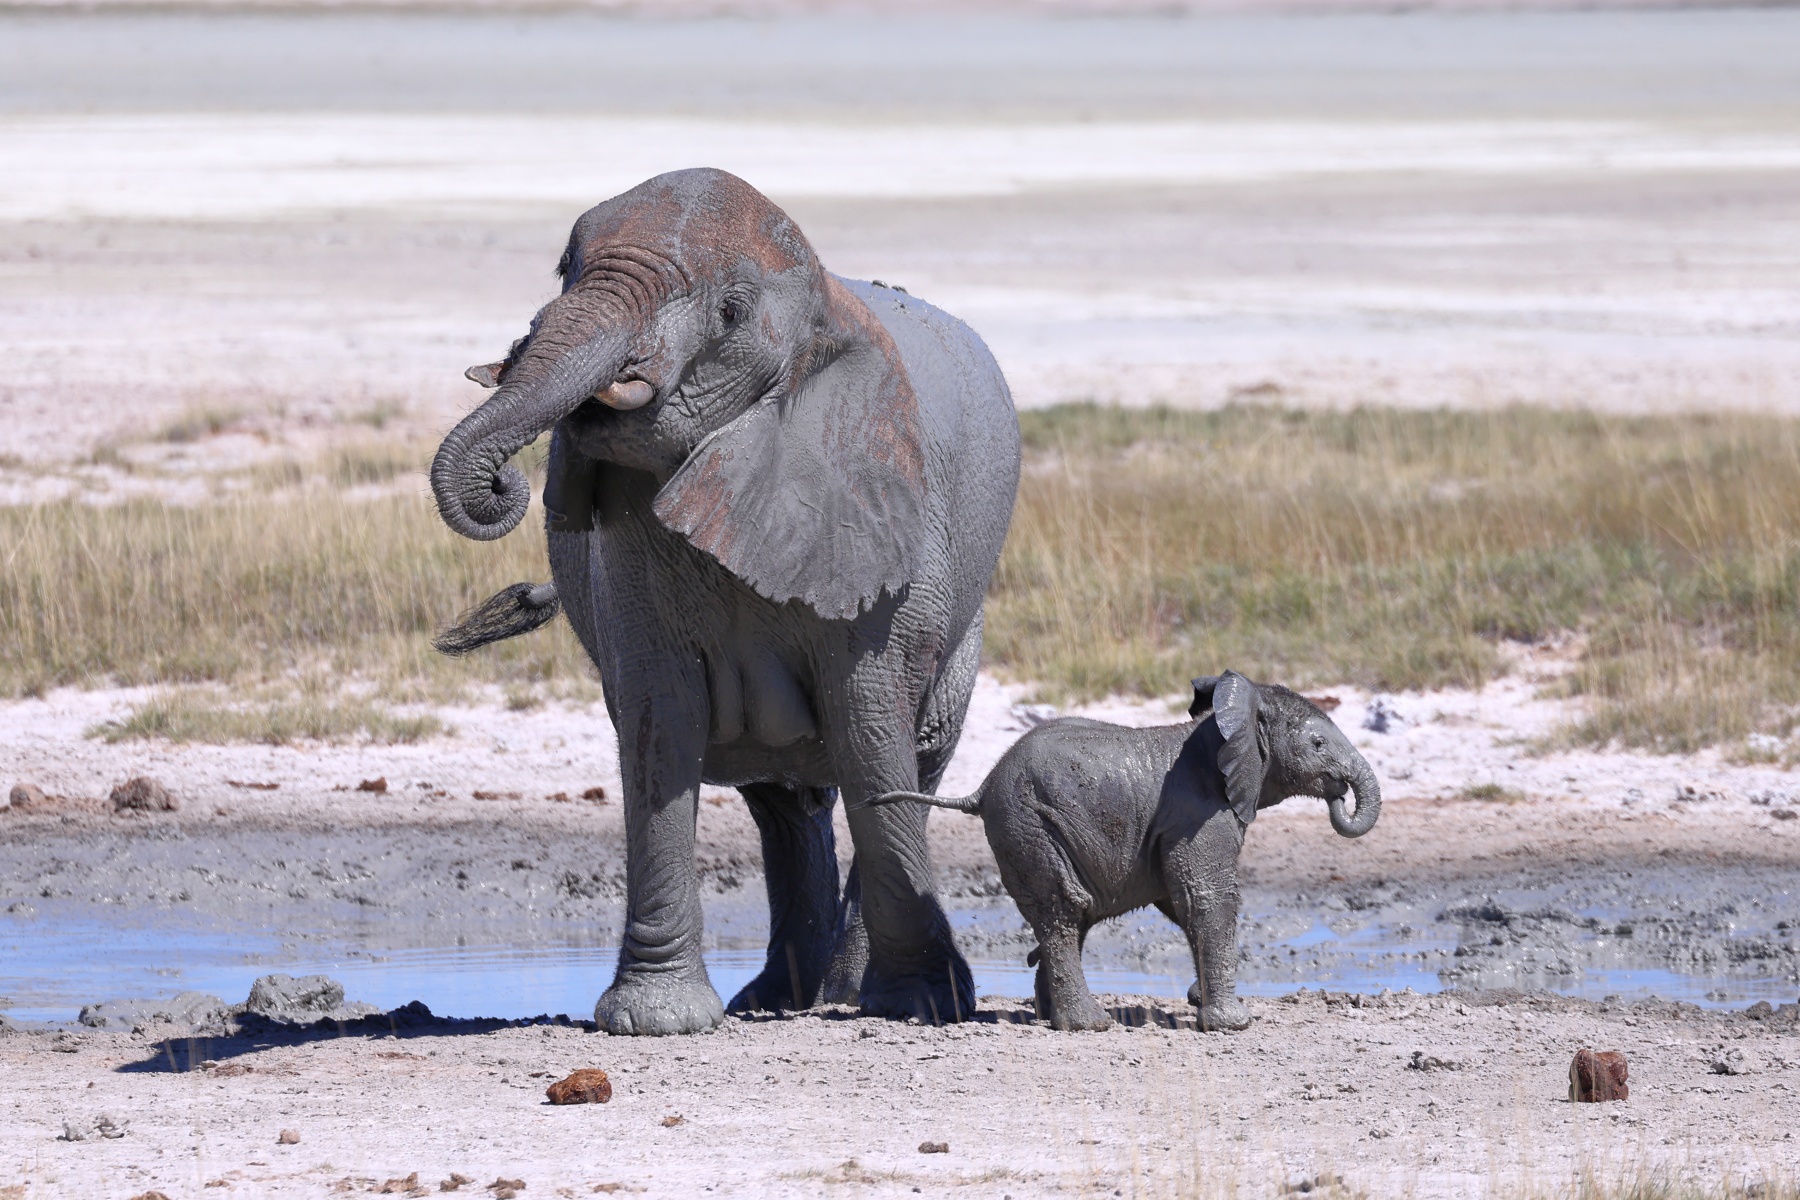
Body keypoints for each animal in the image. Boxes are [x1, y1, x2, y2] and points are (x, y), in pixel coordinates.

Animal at [429, 168, 1021, 1034]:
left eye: (731, 314)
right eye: (565, 269)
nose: (506, 480)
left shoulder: (877, 521)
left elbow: (871, 727)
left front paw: (923, 1006)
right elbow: (659, 719)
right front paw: (656, 1021)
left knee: (915, 756)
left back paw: (847, 997)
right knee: (784, 807)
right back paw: (778, 1000)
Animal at [868, 671, 1380, 1033]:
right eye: (1317, 744)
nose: (1339, 794)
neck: (1226, 723)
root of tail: (980, 788)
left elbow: (1181, 902)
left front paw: (1201, 1001)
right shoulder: (1200, 816)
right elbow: (1207, 898)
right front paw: (1233, 1024)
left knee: (1070, 916)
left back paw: (1052, 1016)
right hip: (1027, 822)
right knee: (1062, 909)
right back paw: (1088, 1025)